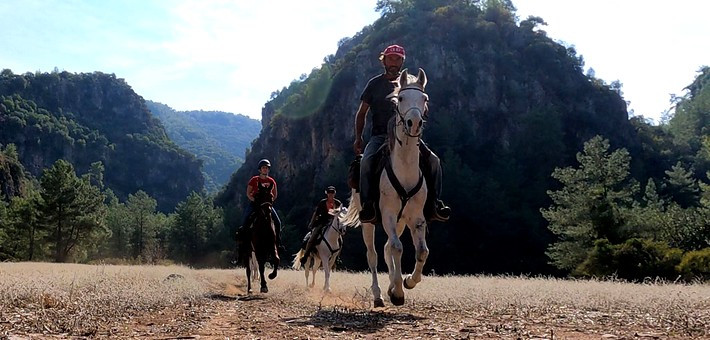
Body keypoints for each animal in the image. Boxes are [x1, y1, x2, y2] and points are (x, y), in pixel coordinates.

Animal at [342, 67, 432, 306]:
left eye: (424, 99)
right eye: (400, 98)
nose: (414, 123)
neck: (405, 169)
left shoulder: (416, 216)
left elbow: (422, 251)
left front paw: (407, 282)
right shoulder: (389, 213)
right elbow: (397, 248)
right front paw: (399, 292)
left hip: (400, 222)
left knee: (386, 248)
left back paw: (391, 285)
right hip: (369, 221)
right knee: (373, 254)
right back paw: (378, 295)